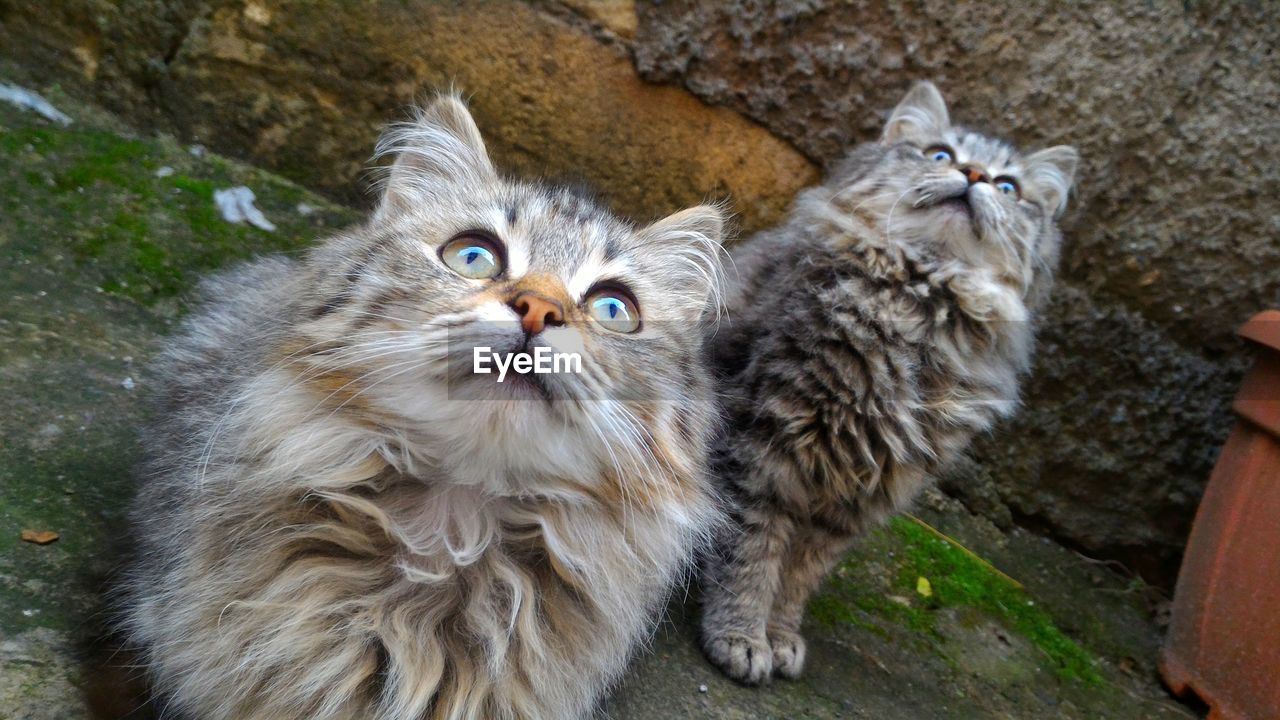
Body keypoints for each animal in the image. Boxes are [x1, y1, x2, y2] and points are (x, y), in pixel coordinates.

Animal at [701, 81, 1080, 681]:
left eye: (1007, 186)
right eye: (941, 155)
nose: (974, 175)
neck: (922, 309)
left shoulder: (857, 496)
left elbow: (796, 577)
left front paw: (780, 636)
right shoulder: (764, 444)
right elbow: (751, 556)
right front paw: (740, 636)